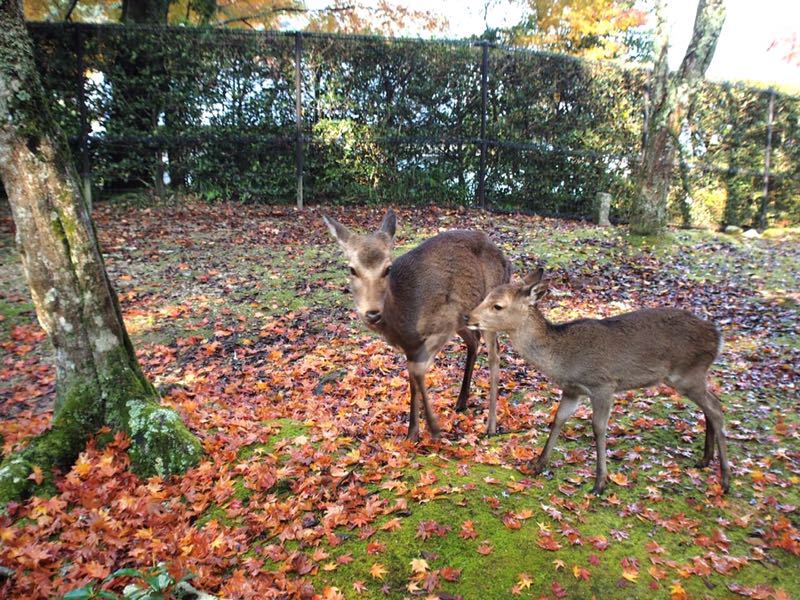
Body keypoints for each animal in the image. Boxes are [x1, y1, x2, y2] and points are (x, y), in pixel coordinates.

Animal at [322, 211, 510, 440]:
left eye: (388, 268)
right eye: (352, 269)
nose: (373, 313)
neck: (402, 323)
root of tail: (506, 260)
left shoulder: (443, 321)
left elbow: (418, 372)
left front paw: (433, 428)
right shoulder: (411, 345)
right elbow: (412, 379)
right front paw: (412, 433)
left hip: (489, 305)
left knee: (495, 355)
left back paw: (490, 426)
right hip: (465, 315)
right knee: (474, 340)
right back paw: (461, 402)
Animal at [468, 270, 732, 494]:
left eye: (498, 305)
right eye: (487, 296)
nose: (467, 316)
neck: (563, 359)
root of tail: (718, 338)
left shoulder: (603, 385)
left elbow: (598, 428)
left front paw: (599, 483)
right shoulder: (572, 389)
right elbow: (558, 419)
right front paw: (538, 464)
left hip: (689, 373)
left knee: (716, 409)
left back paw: (726, 480)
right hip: (691, 377)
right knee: (710, 406)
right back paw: (705, 460)